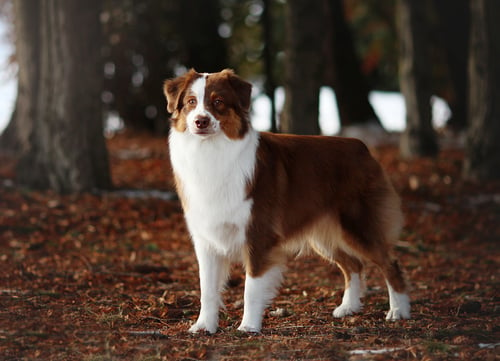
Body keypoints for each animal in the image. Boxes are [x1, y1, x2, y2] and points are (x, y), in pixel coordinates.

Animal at [164, 69, 410, 334]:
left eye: (218, 102)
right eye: (191, 102)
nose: (201, 121)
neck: (210, 151)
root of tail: (361, 146)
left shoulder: (258, 235)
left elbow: (251, 288)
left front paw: (249, 327)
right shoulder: (206, 239)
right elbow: (207, 290)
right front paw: (204, 326)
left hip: (357, 225)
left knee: (390, 263)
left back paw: (398, 310)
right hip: (326, 234)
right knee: (353, 265)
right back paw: (349, 307)